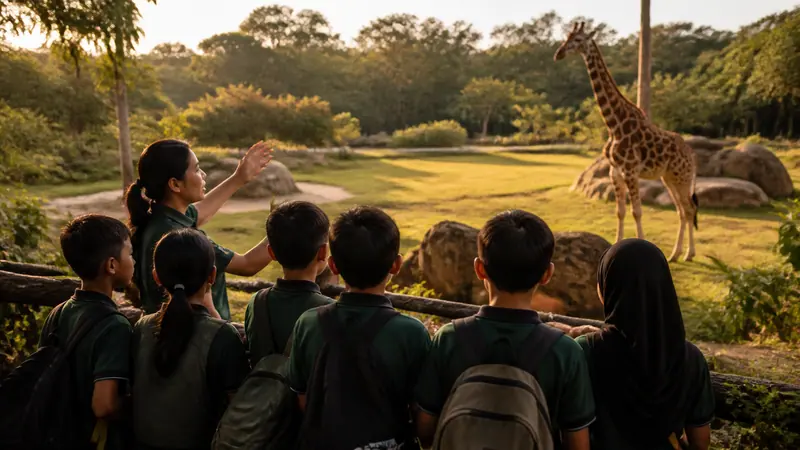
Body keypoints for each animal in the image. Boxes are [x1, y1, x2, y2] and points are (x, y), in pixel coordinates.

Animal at [554, 22, 698, 262]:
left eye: (578, 40)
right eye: (566, 37)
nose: (559, 53)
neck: (614, 124)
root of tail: (692, 156)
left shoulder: (630, 170)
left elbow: (636, 211)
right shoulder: (616, 171)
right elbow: (620, 211)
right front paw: (616, 243)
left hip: (682, 177)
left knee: (689, 210)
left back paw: (688, 254)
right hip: (669, 178)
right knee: (682, 211)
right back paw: (676, 253)